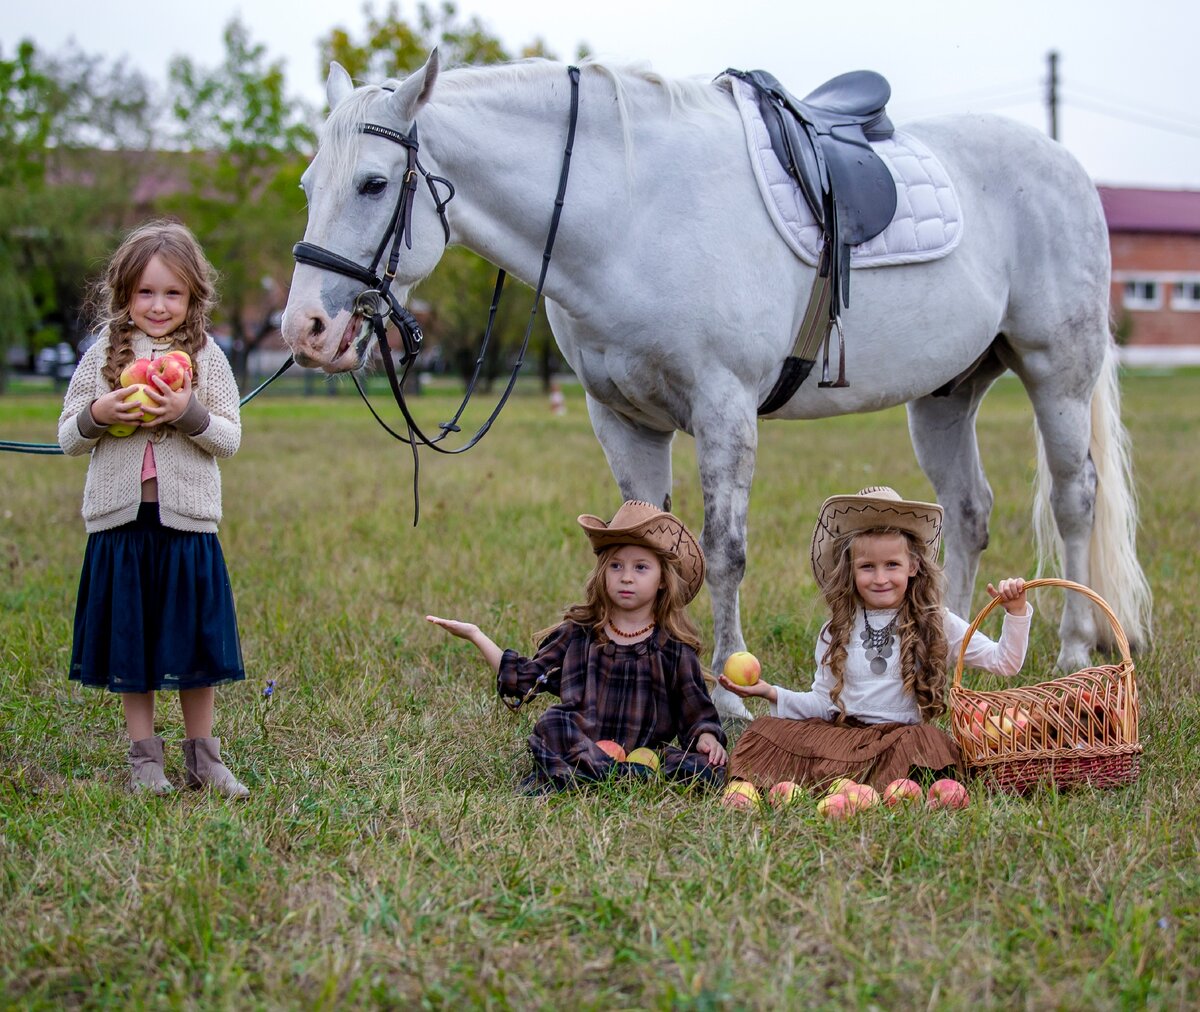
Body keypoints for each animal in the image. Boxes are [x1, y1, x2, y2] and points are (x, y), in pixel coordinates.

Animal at [280, 51, 1152, 720]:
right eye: (307, 185)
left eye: (372, 184)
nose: (304, 331)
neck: (631, 212)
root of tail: (1066, 166)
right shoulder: (621, 419)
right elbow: (645, 538)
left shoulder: (725, 409)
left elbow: (725, 553)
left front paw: (731, 696)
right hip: (945, 395)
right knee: (967, 512)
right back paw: (954, 649)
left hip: (1058, 374)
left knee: (1075, 499)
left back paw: (1074, 650)